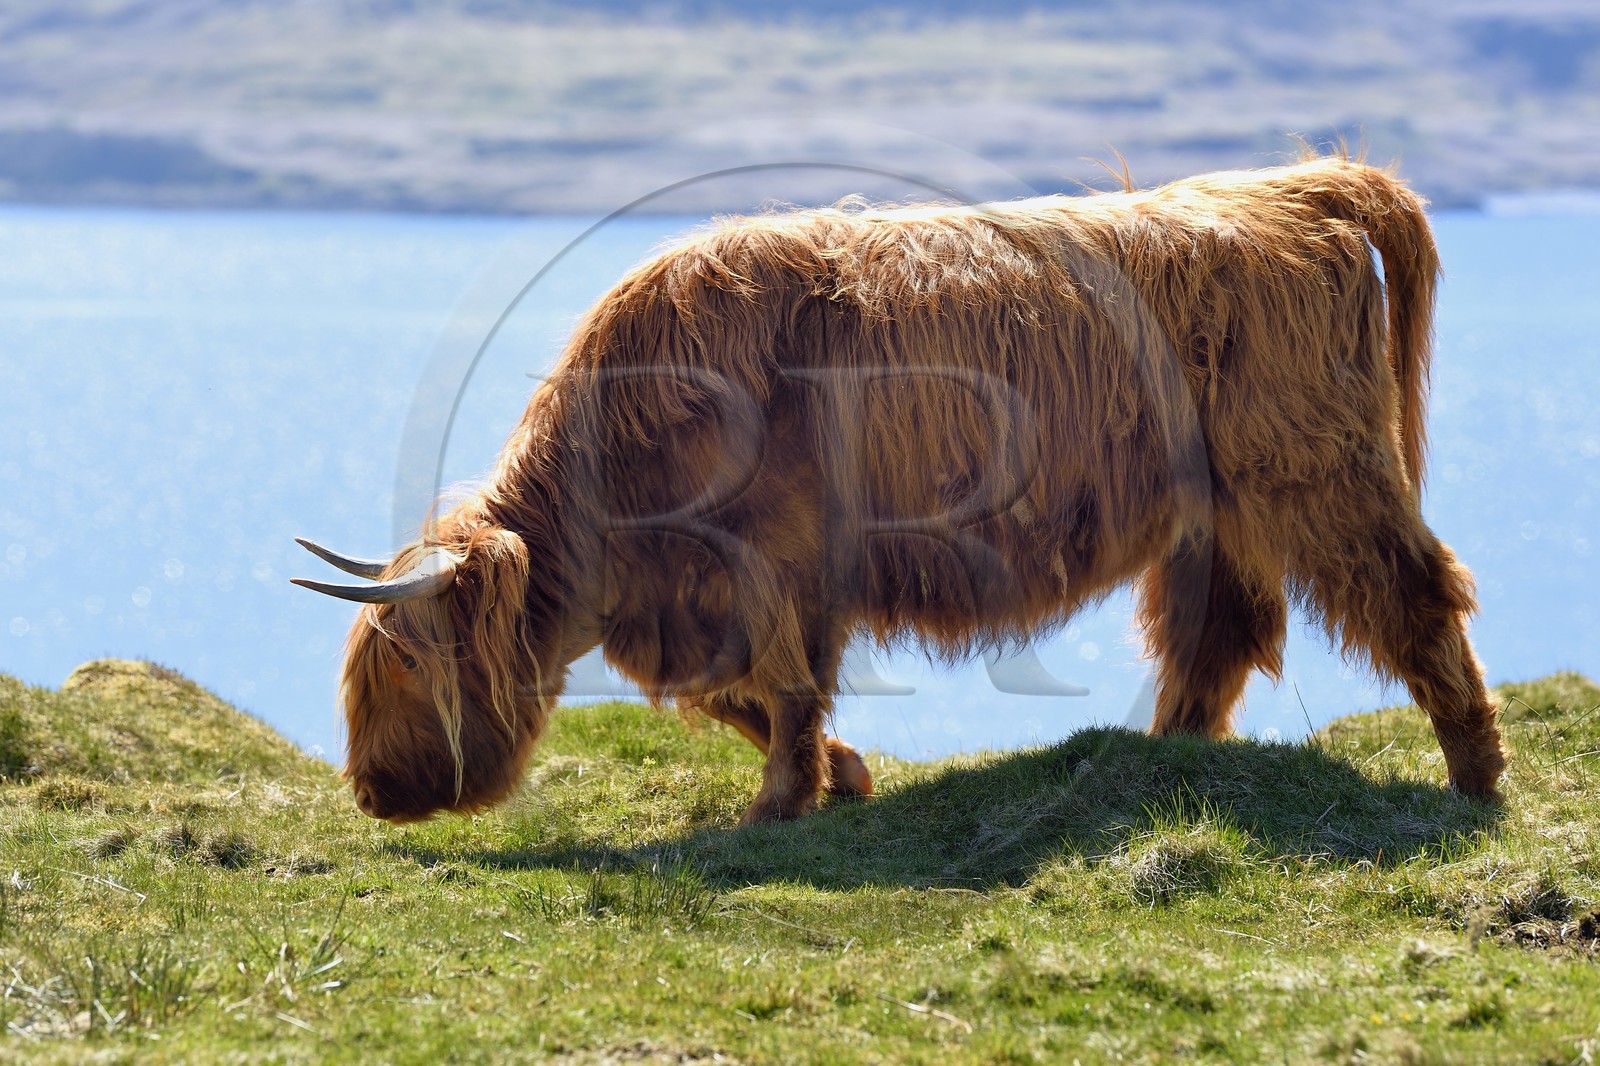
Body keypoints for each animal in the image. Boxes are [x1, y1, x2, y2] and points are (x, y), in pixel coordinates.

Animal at [294, 155, 1506, 826]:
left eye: (404, 664)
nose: (370, 792)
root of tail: (1295, 188)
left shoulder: (774, 570)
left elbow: (779, 690)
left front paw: (777, 806)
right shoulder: (737, 598)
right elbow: (743, 696)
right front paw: (844, 776)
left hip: (1317, 471)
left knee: (1413, 593)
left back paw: (1477, 774)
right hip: (1217, 510)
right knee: (1217, 633)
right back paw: (1161, 755)